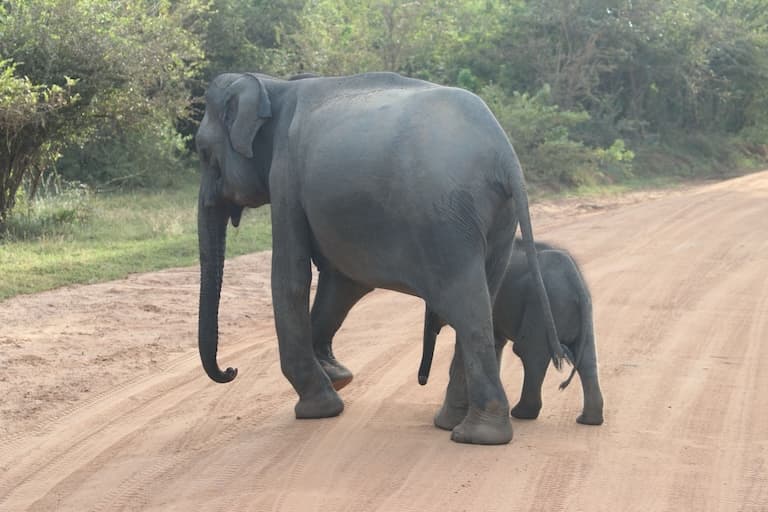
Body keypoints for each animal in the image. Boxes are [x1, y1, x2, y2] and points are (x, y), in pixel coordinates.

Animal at [195, 71, 566, 444]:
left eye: (202, 152)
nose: (230, 370)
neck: (273, 86)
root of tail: (504, 157)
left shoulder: (286, 177)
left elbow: (292, 277)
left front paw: (318, 407)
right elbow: (342, 283)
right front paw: (338, 377)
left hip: (445, 220)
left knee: (467, 306)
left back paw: (477, 435)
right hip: (497, 219)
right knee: (484, 295)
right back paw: (450, 422)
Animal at [418, 239, 604, 426]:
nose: (422, 381)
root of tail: (575, 282)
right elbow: (494, 344)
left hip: (538, 309)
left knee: (529, 354)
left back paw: (521, 413)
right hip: (580, 313)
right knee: (586, 360)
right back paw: (588, 420)